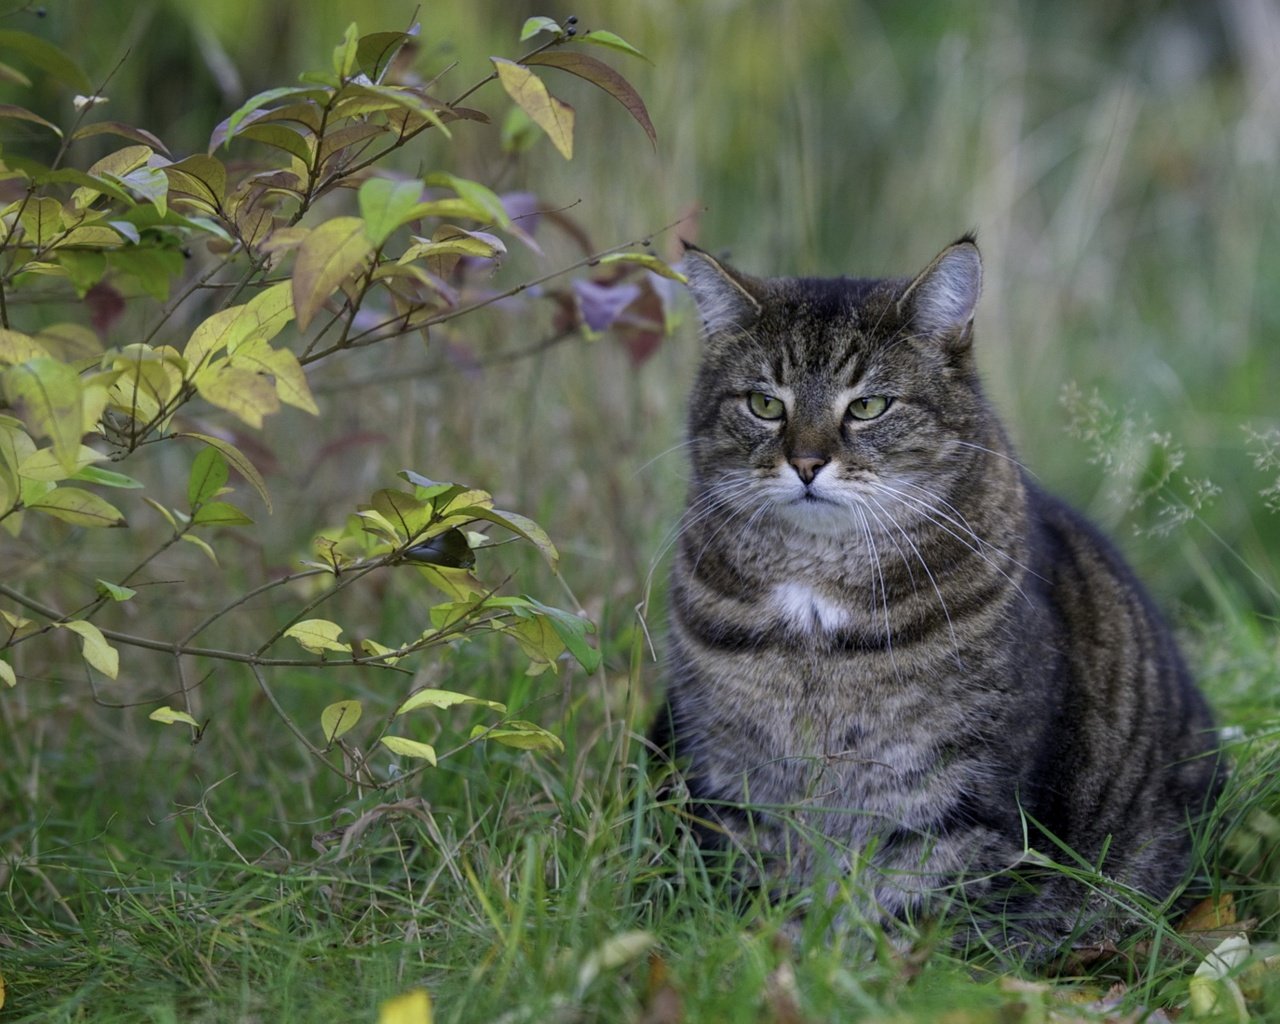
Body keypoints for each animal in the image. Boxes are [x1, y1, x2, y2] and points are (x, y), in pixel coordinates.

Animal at [655, 235, 1223, 962]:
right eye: (764, 404)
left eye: (869, 406)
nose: (805, 462)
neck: (814, 597)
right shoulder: (738, 779)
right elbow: (764, 889)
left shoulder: (958, 796)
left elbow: (916, 913)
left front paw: (871, 971)